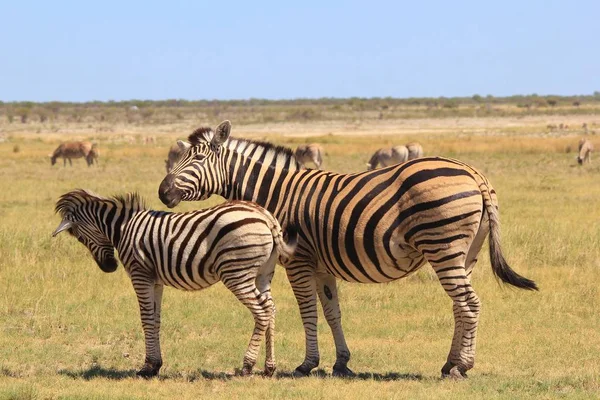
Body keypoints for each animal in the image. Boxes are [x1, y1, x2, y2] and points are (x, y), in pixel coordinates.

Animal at [51, 191, 296, 378]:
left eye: (78, 237)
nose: (109, 268)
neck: (123, 229)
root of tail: (265, 216)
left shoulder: (140, 275)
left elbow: (146, 320)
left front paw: (147, 367)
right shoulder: (155, 280)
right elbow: (155, 320)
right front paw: (155, 365)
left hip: (236, 272)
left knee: (262, 312)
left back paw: (247, 366)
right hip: (263, 273)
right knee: (271, 308)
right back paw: (269, 367)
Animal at [156, 120, 540, 380]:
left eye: (195, 160)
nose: (162, 193)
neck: (278, 192)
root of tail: (475, 174)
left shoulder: (298, 259)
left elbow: (307, 312)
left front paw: (307, 364)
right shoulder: (323, 265)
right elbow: (332, 312)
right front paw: (342, 362)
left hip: (443, 245)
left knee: (469, 304)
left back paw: (462, 366)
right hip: (465, 253)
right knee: (460, 306)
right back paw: (449, 363)